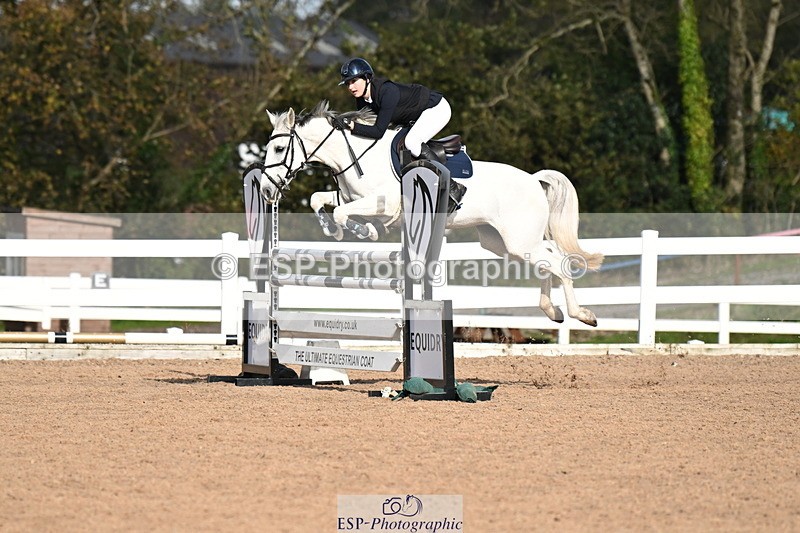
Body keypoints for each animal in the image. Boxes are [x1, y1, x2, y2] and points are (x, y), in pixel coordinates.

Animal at [259, 100, 603, 326]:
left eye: (279, 149)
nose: (264, 190)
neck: (355, 154)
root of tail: (533, 179)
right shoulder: (351, 197)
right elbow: (319, 200)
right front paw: (333, 229)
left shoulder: (386, 204)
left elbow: (346, 214)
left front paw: (364, 231)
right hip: (503, 243)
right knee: (551, 259)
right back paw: (552, 311)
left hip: (520, 240)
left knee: (560, 264)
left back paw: (582, 315)